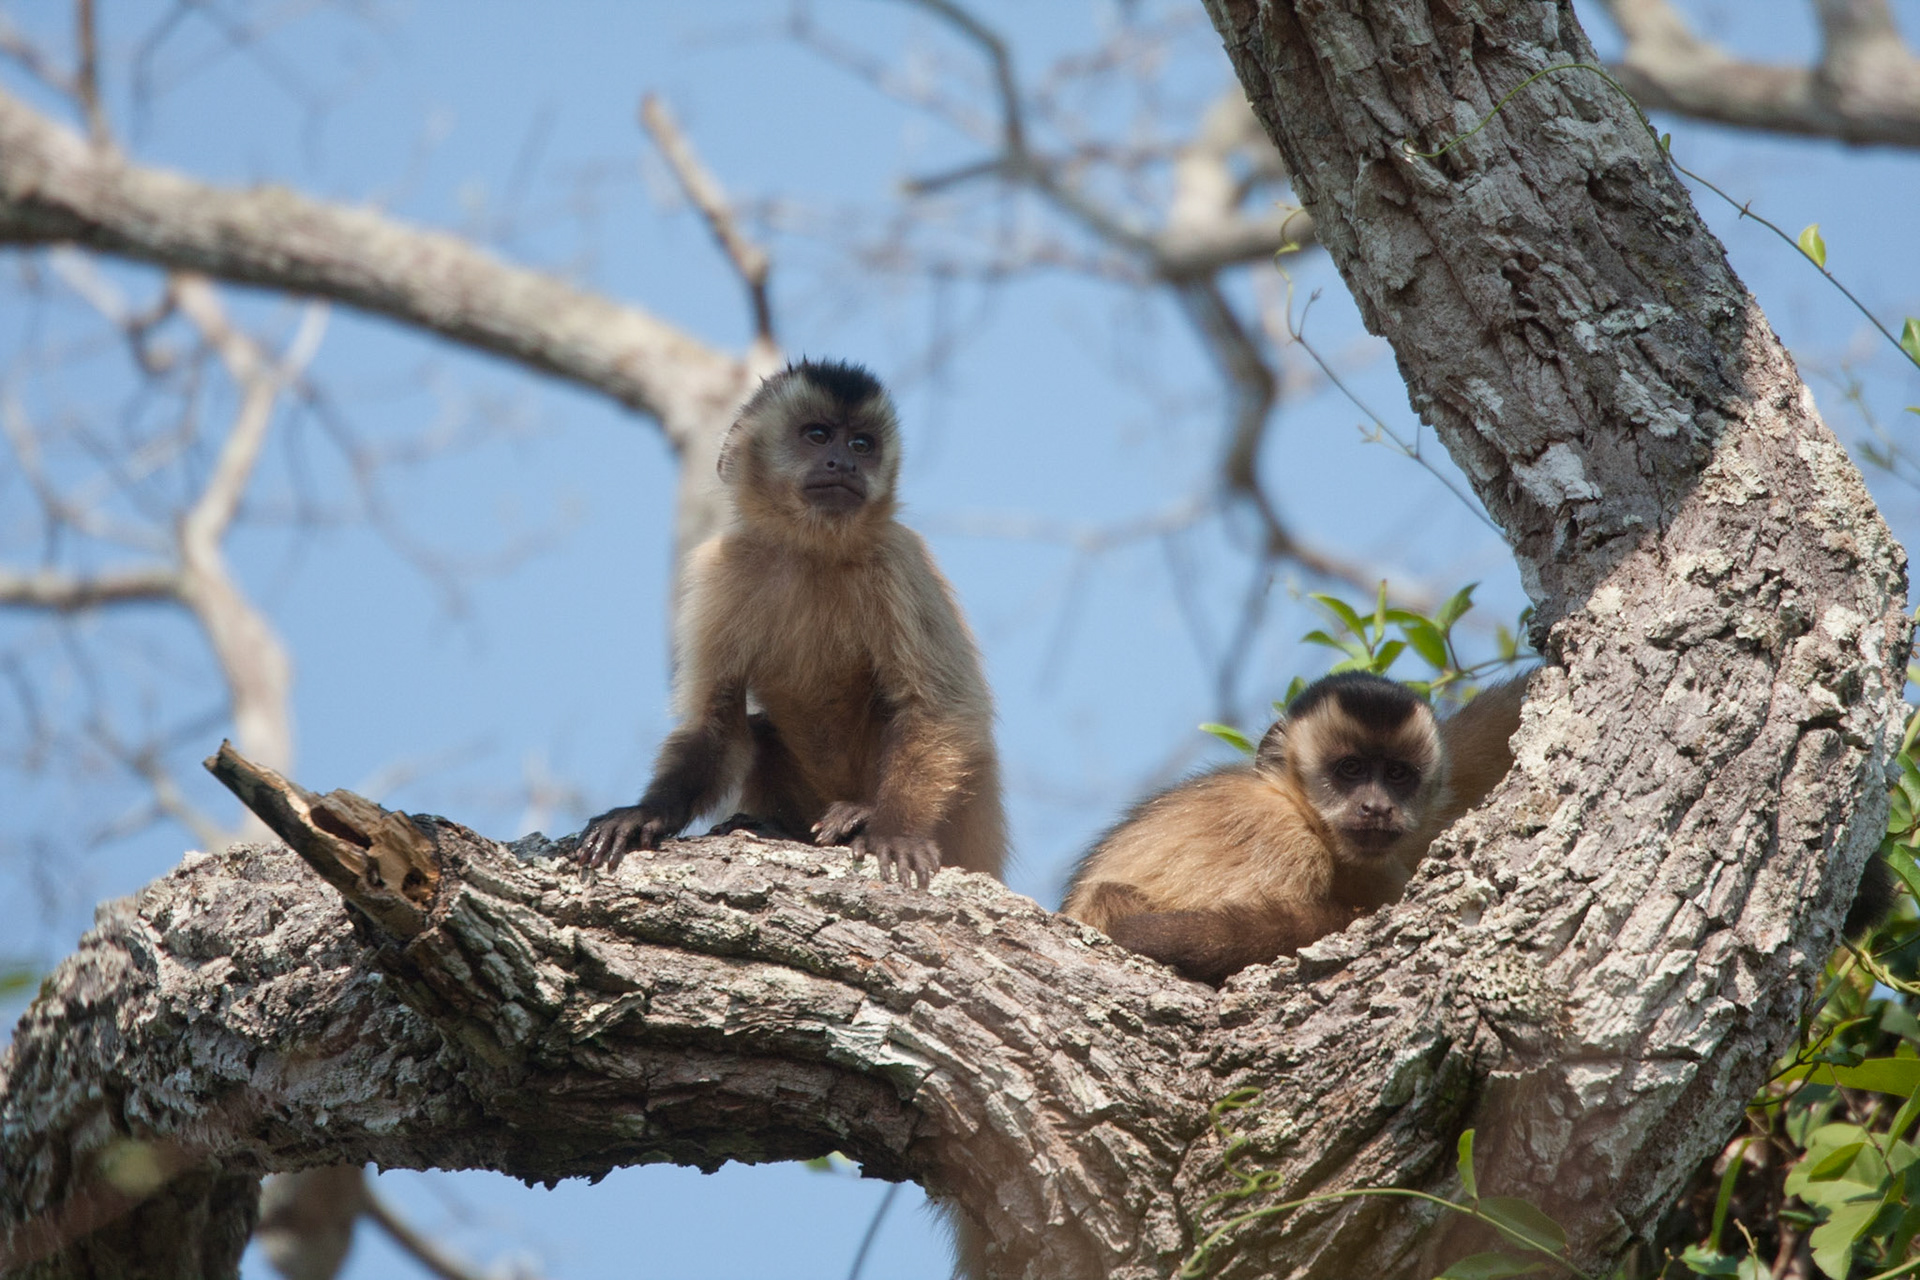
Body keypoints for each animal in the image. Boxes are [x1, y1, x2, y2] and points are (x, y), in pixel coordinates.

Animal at [570, 358, 1006, 888]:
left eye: (862, 444)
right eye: (818, 435)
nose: (845, 464)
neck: (809, 551)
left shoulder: (900, 559)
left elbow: (941, 709)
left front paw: (894, 829)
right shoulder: (721, 570)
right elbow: (714, 724)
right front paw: (645, 813)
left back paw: (859, 813)